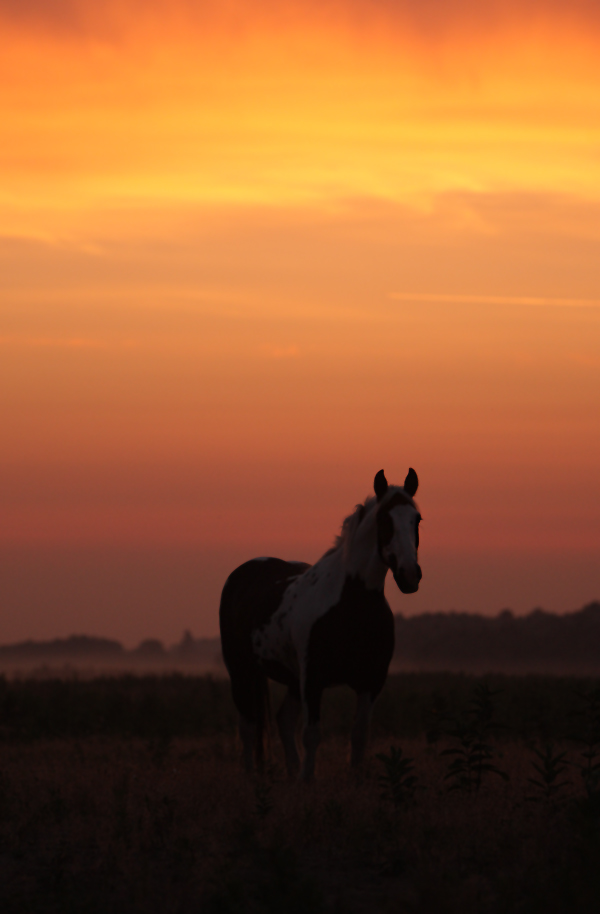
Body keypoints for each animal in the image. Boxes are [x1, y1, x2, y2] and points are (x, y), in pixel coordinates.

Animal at [218, 470, 420, 776]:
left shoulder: (370, 683)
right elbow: (311, 734)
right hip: (242, 671)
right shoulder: (313, 679)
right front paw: (307, 780)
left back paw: (290, 773)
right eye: (384, 519)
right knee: (249, 727)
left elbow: (359, 737)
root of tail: (243, 571)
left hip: (290, 679)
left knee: (283, 720)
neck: (350, 604)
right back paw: (251, 777)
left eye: (416, 519)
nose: (410, 575)